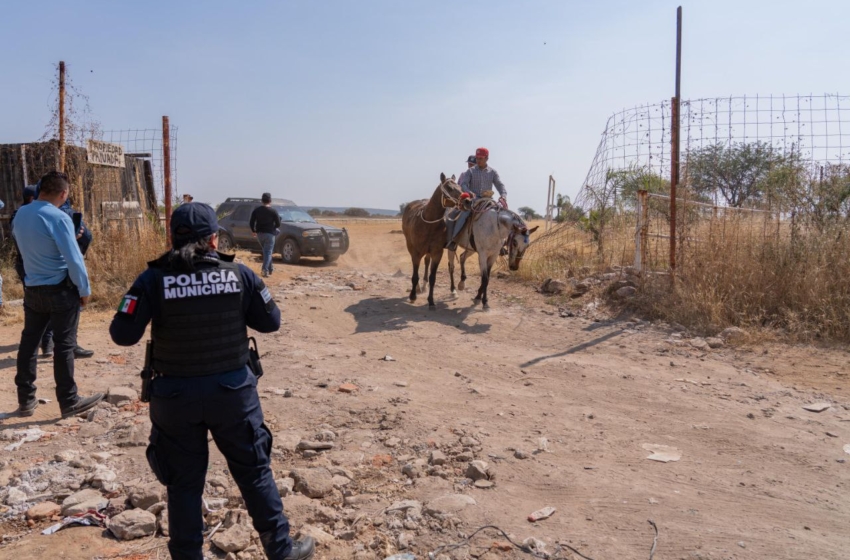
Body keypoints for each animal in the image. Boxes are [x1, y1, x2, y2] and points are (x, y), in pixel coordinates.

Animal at [400, 173, 460, 308]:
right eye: (449, 187)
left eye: (459, 186)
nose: (468, 200)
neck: (429, 223)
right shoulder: (416, 252)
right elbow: (415, 275)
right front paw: (413, 296)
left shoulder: (437, 252)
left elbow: (433, 277)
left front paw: (431, 301)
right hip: (411, 246)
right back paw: (418, 288)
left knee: (435, 264)